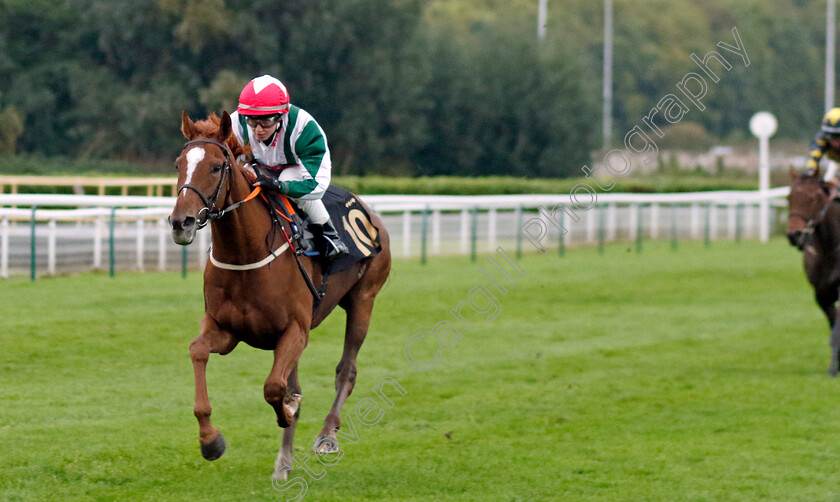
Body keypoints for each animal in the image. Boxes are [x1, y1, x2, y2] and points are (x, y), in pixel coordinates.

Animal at [171, 111, 394, 478]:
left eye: (216, 167)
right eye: (179, 164)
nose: (181, 222)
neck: (244, 253)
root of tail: (370, 211)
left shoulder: (295, 330)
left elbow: (275, 388)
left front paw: (289, 409)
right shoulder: (226, 329)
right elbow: (198, 350)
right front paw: (210, 440)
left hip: (364, 301)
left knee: (346, 370)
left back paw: (327, 435)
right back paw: (284, 462)